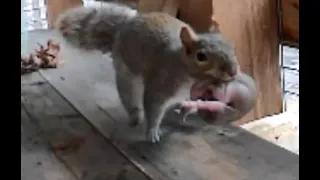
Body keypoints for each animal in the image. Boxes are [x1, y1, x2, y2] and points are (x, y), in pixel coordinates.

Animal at [55, 2, 255, 143]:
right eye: (201, 56)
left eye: (232, 46)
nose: (233, 71)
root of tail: (123, 27)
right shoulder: (160, 83)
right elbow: (153, 107)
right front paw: (152, 132)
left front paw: (189, 110)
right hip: (127, 75)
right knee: (130, 97)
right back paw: (135, 116)